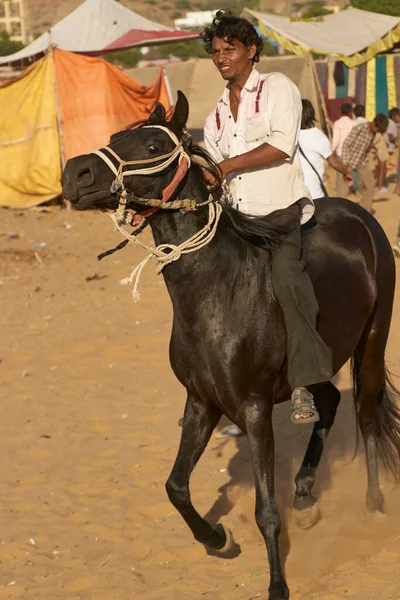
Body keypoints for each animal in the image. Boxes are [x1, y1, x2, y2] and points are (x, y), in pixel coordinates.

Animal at [62, 91, 400, 596]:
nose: (73, 173)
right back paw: (305, 493)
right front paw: (217, 538)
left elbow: (266, 513)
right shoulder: (202, 402)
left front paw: (277, 585)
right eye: (115, 136)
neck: (215, 292)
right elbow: (175, 487)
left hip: (372, 343)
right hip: (317, 363)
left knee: (366, 414)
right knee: (329, 402)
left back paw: (374, 503)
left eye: (150, 146)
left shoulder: (255, 410)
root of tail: (363, 219)